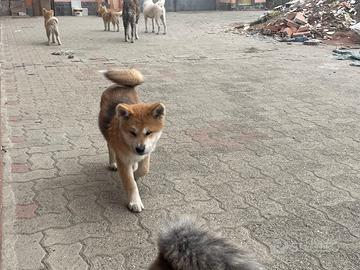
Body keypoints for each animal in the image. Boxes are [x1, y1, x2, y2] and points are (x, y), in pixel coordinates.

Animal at [98, 67, 166, 211]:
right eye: (132, 132)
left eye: (149, 132)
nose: (140, 149)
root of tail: (121, 86)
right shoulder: (123, 161)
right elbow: (130, 183)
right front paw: (135, 202)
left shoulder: (148, 150)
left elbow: (144, 169)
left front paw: (136, 174)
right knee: (110, 147)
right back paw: (113, 163)